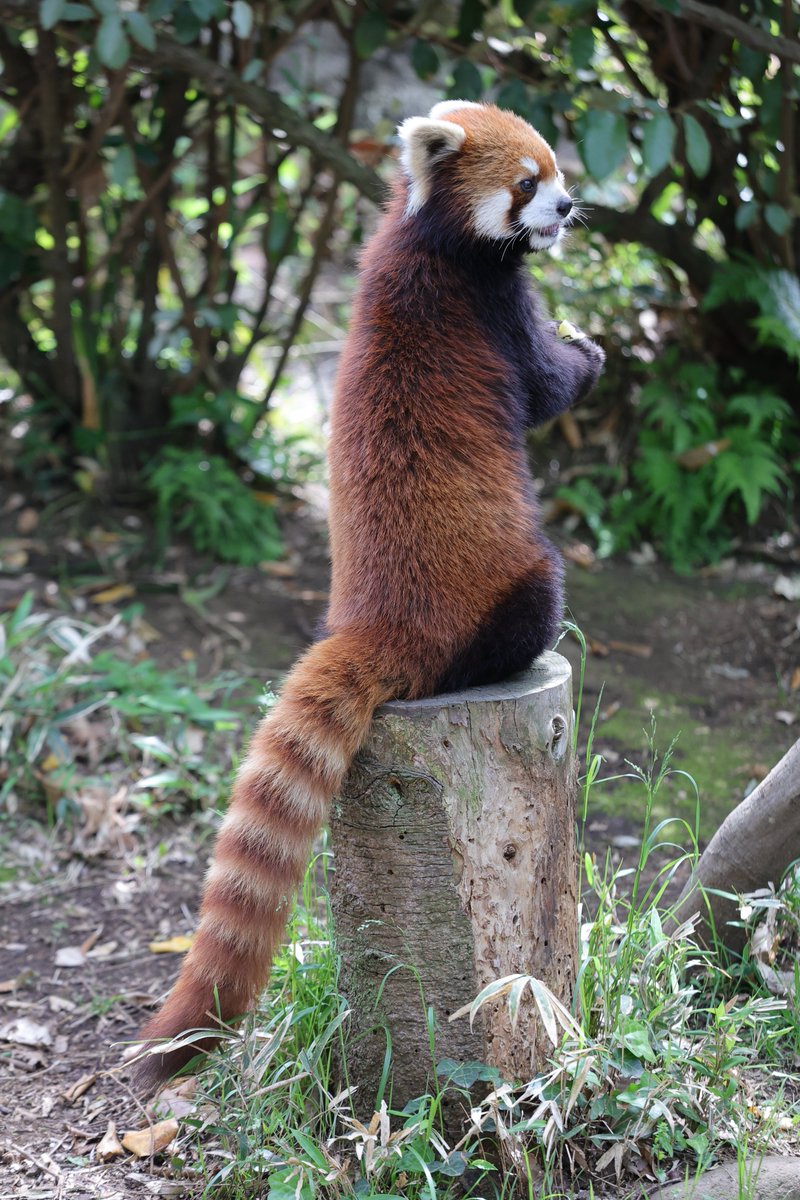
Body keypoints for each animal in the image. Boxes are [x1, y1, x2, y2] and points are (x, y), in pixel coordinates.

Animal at [137, 100, 604, 1089]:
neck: (426, 237)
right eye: (528, 183)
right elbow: (546, 386)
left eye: (555, 170)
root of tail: (371, 618)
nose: (569, 207)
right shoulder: (491, 308)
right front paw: (588, 351)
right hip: (507, 584)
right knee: (531, 602)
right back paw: (520, 649)